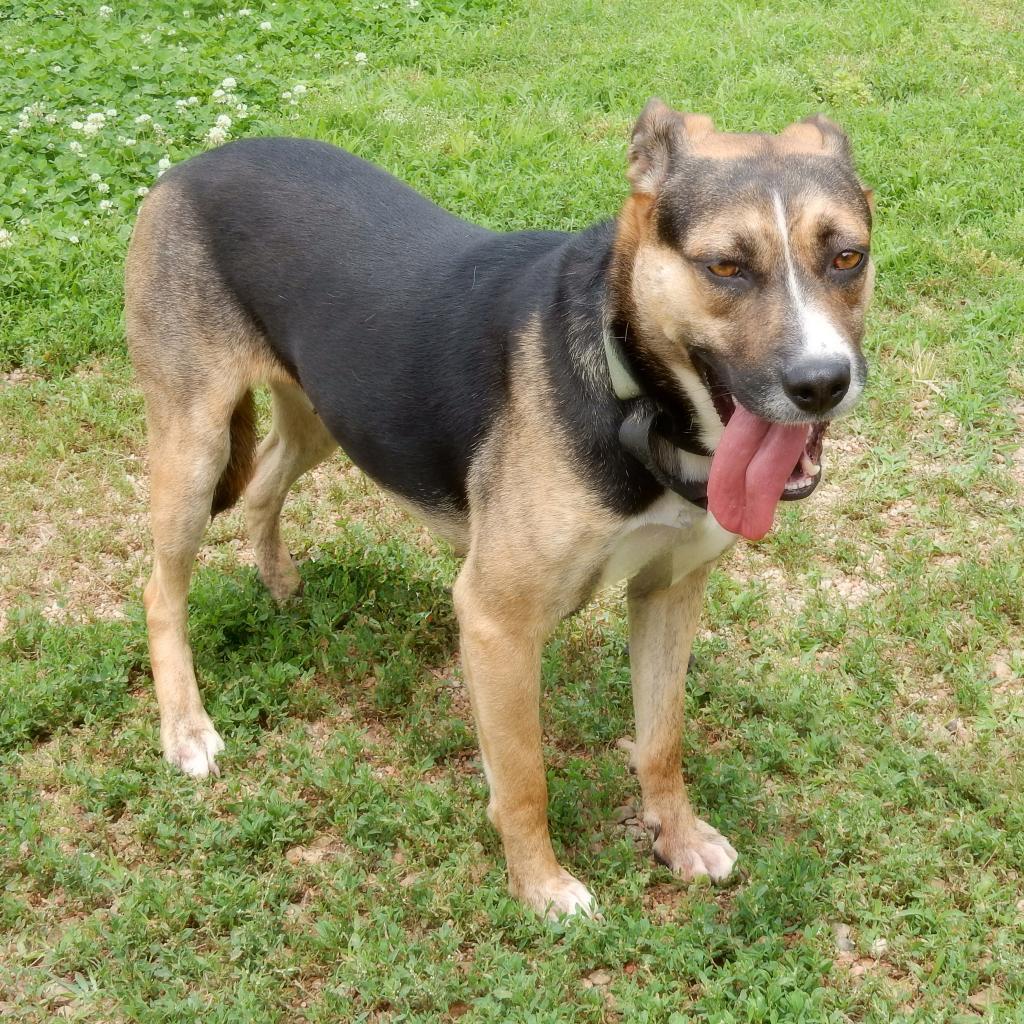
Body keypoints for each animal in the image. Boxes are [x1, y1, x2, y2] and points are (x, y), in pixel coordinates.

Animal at [125, 101, 872, 921]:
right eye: (726, 268)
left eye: (847, 258)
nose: (822, 383)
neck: (635, 397)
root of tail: (192, 166)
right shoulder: (496, 622)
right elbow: (523, 778)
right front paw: (540, 885)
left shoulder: (669, 590)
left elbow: (661, 739)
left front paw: (675, 836)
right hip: (193, 442)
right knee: (161, 589)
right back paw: (185, 728)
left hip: (328, 410)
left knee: (263, 483)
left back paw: (279, 583)